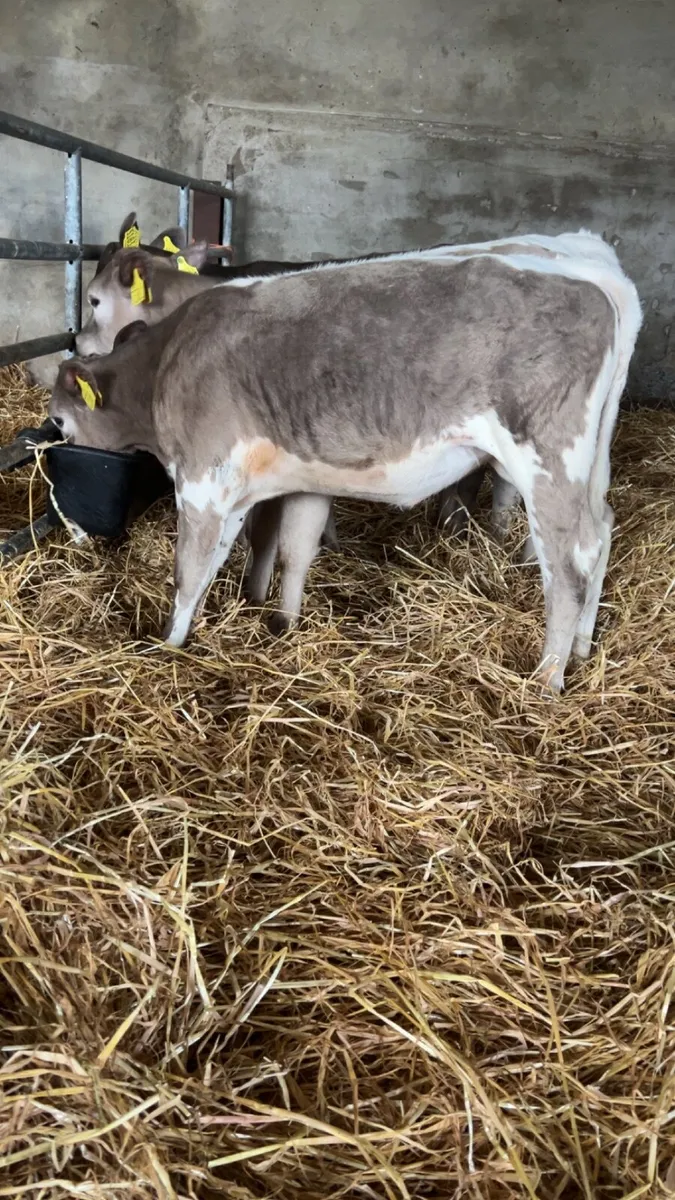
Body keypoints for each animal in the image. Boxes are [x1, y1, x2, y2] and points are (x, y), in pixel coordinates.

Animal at [49, 235, 641, 693]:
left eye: (96, 300)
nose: (78, 338)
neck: (166, 364)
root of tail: (595, 280)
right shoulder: (298, 477)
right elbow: (289, 548)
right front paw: (279, 621)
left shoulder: (202, 479)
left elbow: (190, 569)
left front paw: (168, 644)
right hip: (589, 463)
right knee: (602, 530)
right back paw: (582, 648)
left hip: (547, 457)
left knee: (570, 562)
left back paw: (546, 678)